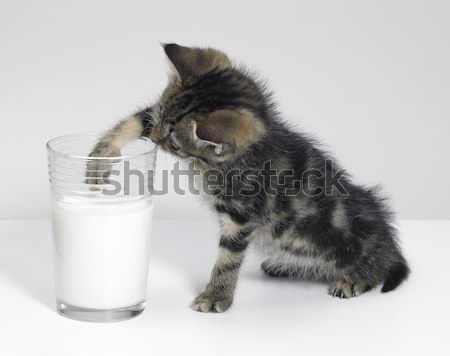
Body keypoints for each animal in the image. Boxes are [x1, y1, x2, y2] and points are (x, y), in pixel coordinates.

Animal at [87, 43, 408, 312]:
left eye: (174, 144)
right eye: (162, 118)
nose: (155, 139)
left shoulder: (240, 213)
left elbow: (229, 257)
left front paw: (216, 295)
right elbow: (138, 118)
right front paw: (100, 157)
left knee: (380, 265)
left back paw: (356, 278)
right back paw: (284, 265)